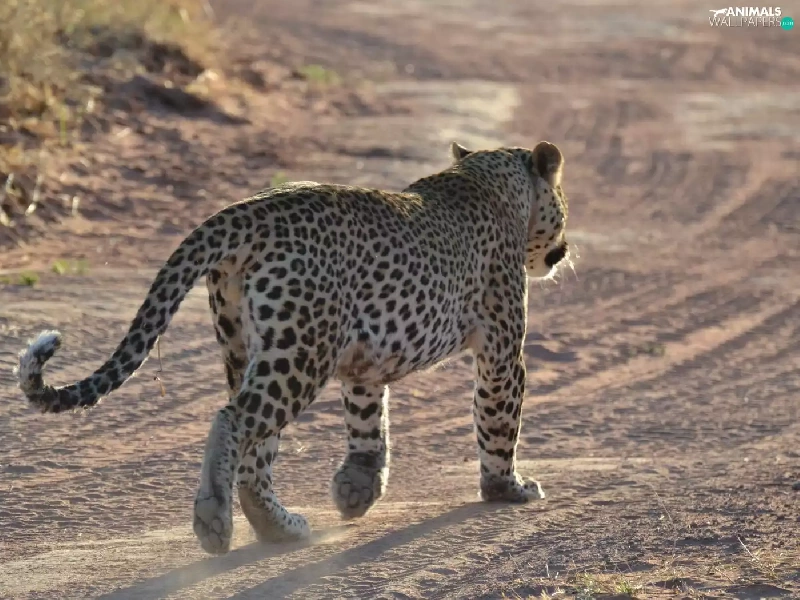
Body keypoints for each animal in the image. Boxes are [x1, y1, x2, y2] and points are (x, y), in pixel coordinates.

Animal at [15, 139, 571, 556]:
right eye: (563, 207)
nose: (563, 249)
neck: (492, 181)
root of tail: (248, 210)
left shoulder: (364, 361)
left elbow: (368, 424)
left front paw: (357, 490)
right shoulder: (502, 350)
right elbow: (499, 421)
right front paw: (508, 489)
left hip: (251, 347)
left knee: (254, 452)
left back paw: (279, 527)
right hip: (301, 352)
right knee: (232, 421)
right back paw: (215, 520)